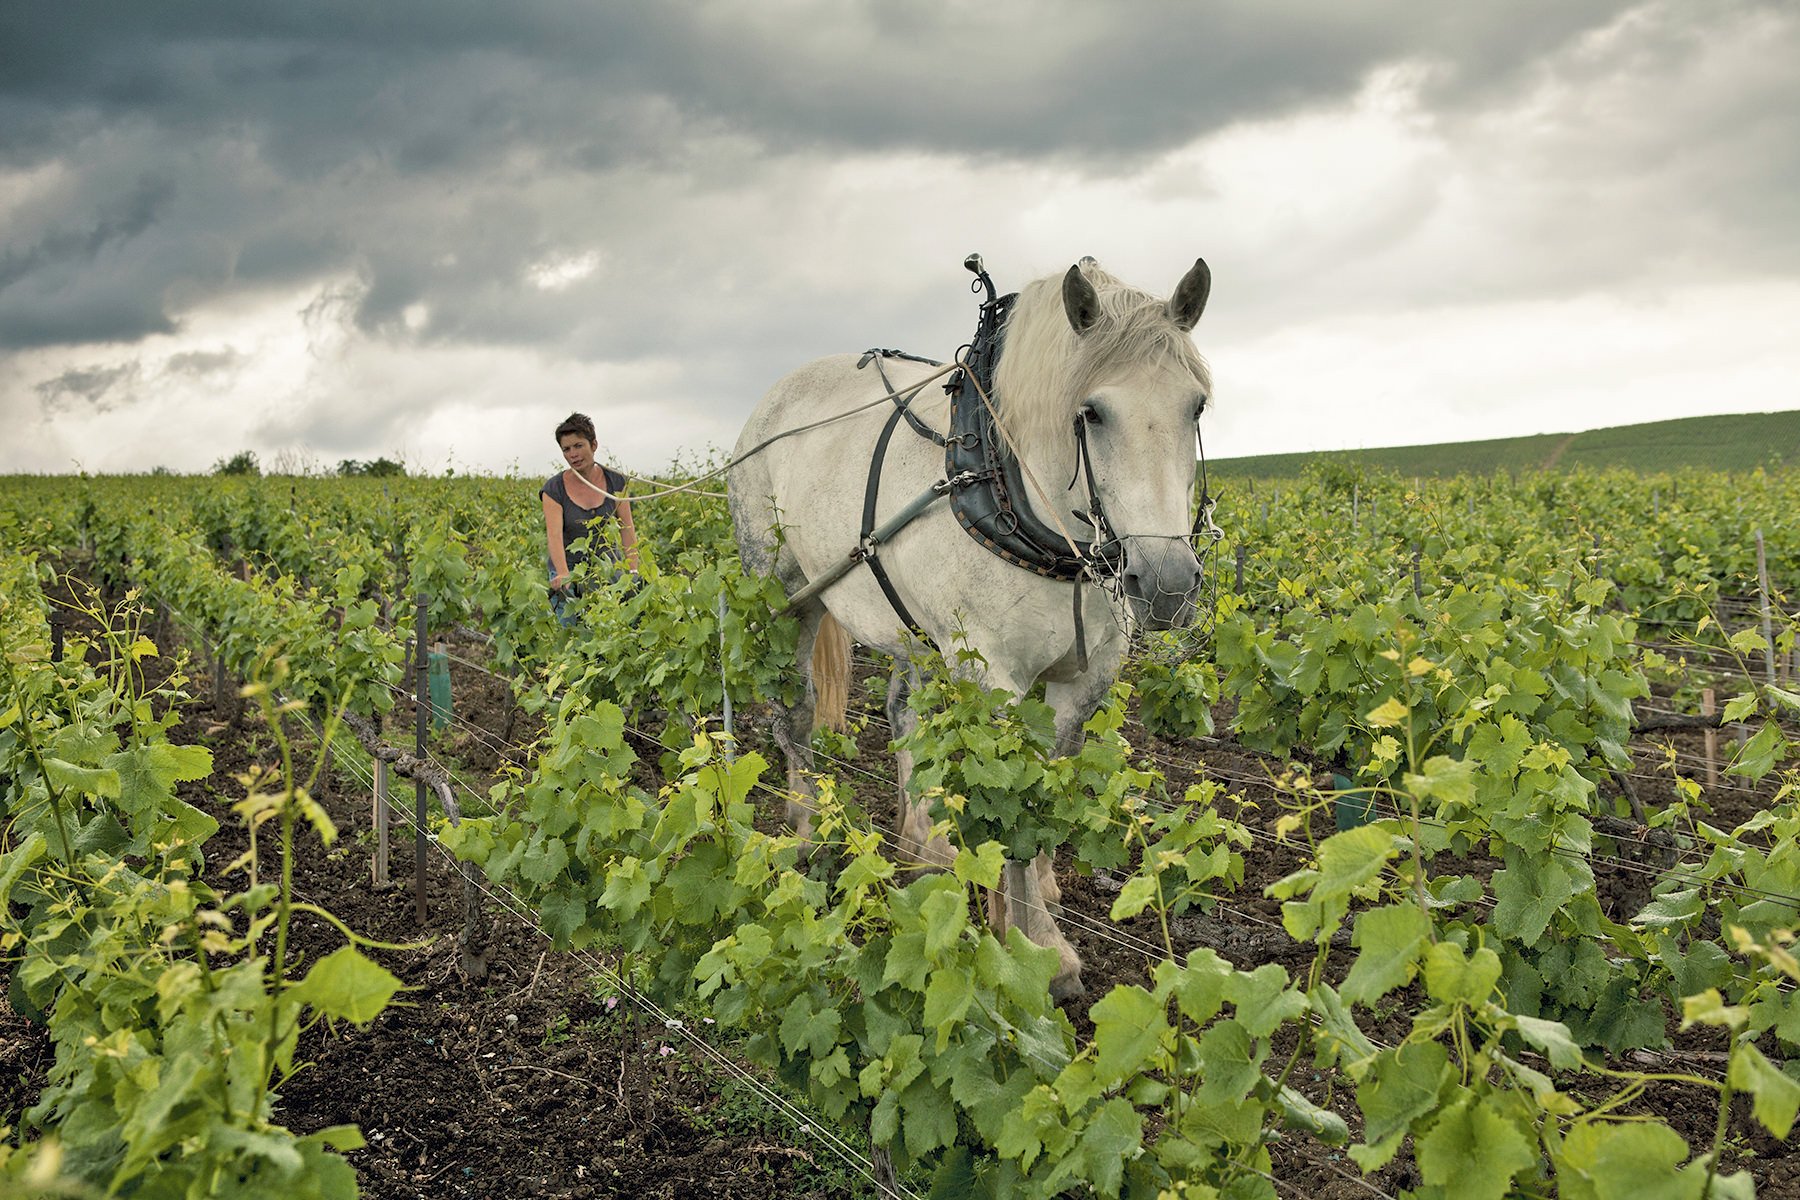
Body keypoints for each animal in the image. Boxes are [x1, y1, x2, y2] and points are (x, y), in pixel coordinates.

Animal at [727, 259, 1209, 1000]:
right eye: (1092, 412)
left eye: (1197, 407)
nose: (1167, 584)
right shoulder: (994, 678)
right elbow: (1014, 801)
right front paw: (1038, 950)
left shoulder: (1086, 676)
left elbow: (1051, 789)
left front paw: (1036, 898)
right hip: (784, 590)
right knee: (796, 714)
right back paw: (806, 833)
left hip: (909, 626)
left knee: (902, 713)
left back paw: (926, 843)